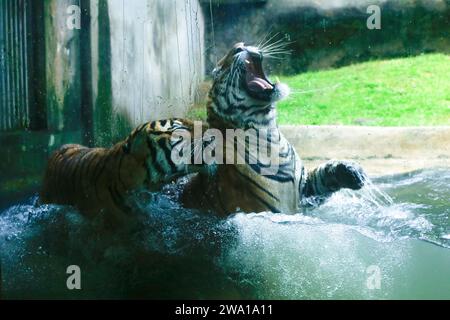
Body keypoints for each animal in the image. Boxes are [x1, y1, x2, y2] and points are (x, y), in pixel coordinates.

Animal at [181, 42, 368, 215]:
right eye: (217, 71)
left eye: (241, 45)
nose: (239, 46)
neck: (268, 130)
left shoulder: (305, 190)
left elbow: (321, 176)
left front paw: (352, 171)